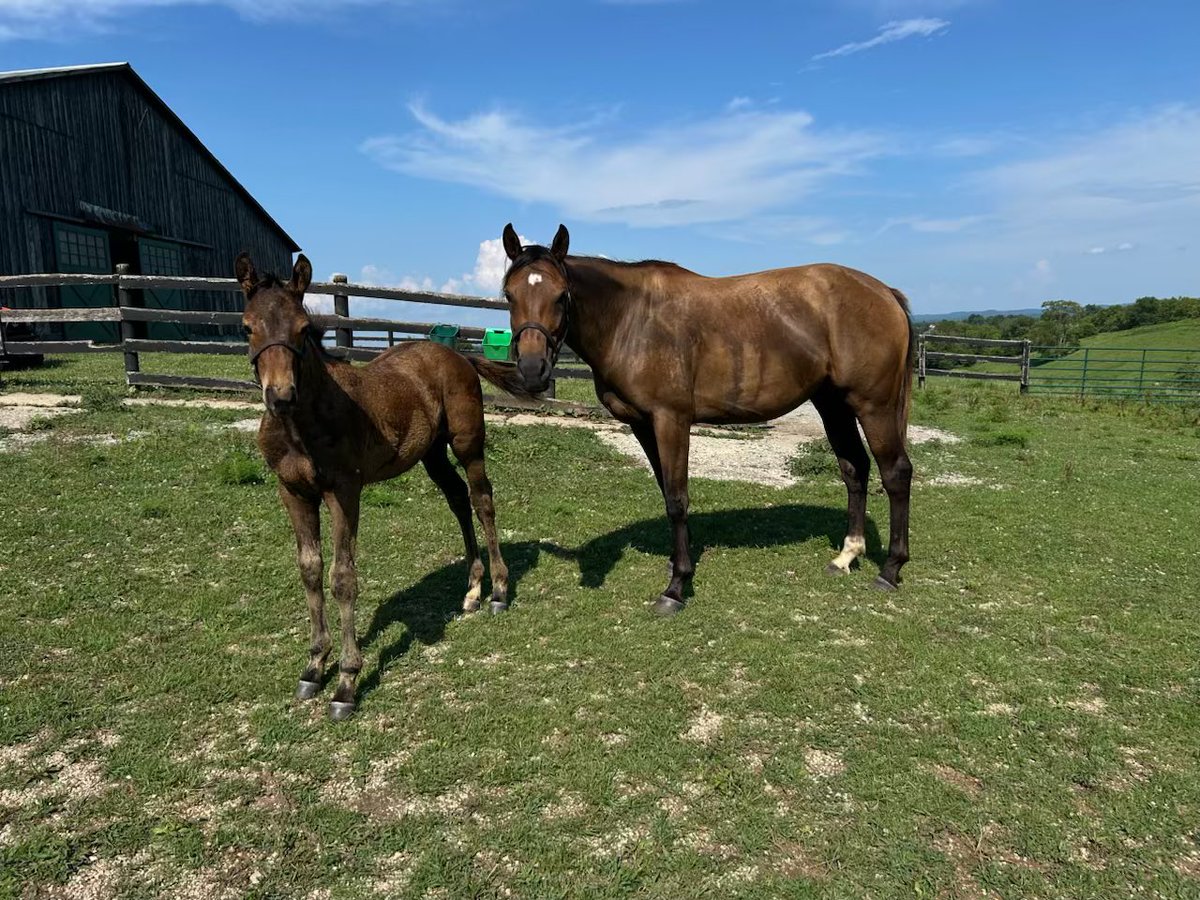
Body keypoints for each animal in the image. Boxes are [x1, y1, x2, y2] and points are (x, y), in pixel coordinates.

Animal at [235, 252, 534, 719]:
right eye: (247, 326)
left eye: (303, 327)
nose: (280, 396)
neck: (302, 426)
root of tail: (457, 355)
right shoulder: (293, 492)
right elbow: (309, 569)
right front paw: (314, 666)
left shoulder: (344, 491)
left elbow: (342, 577)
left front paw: (346, 682)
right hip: (432, 454)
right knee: (458, 500)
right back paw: (472, 589)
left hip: (468, 444)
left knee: (482, 499)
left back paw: (499, 590)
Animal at [499, 224, 914, 616]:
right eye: (509, 295)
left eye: (561, 295)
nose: (532, 371)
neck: (632, 318)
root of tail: (884, 292)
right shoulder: (643, 425)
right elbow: (666, 491)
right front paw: (676, 563)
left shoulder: (671, 420)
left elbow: (677, 498)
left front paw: (676, 587)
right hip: (833, 405)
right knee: (855, 469)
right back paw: (847, 556)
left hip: (873, 406)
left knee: (895, 473)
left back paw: (890, 570)